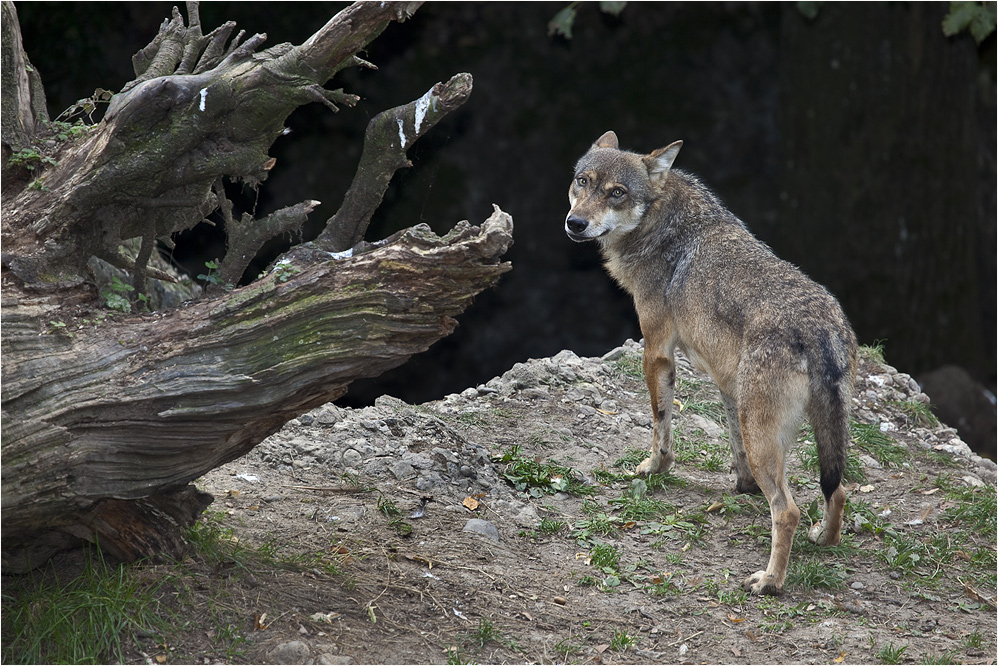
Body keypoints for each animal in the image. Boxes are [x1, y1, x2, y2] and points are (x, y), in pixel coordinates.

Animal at [572, 130, 860, 592]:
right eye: (582, 182)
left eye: (617, 192)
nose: (575, 223)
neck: (663, 225)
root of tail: (822, 330)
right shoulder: (728, 384)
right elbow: (732, 442)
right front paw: (742, 486)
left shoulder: (656, 351)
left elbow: (660, 425)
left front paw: (654, 468)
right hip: (814, 429)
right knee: (838, 488)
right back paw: (825, 539)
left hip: (767, 438)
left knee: (788, 510)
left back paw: (769, 582)